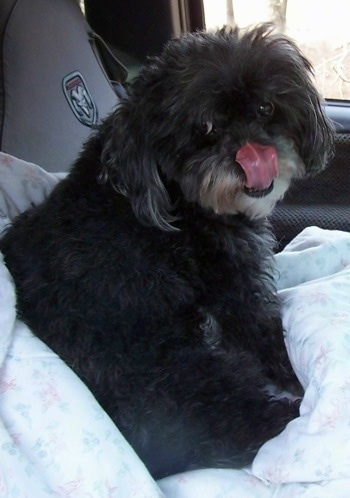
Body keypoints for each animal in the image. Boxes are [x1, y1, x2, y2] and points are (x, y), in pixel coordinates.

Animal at [0, 24, 334, 478]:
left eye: (265, 108)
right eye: (205, 126)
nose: (253, 153)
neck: (176, 197)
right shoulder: (235, 289)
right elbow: (267, 335)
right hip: (176, 366)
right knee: (239, 417)